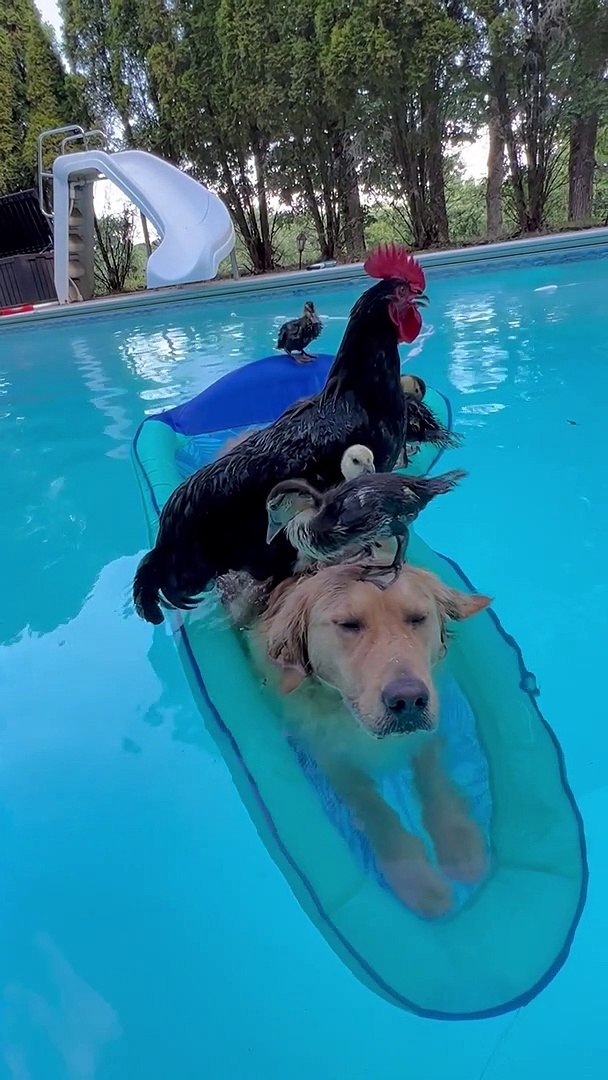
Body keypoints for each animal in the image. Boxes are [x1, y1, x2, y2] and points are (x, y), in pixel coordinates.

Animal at [242, 561, 490, 915]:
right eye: (348, 624)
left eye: (417, 618)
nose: (408, 700)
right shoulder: (328, 756)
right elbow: (373, 807)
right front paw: (416, 879)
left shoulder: (428, 732)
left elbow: (433, 775)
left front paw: (459, 842)